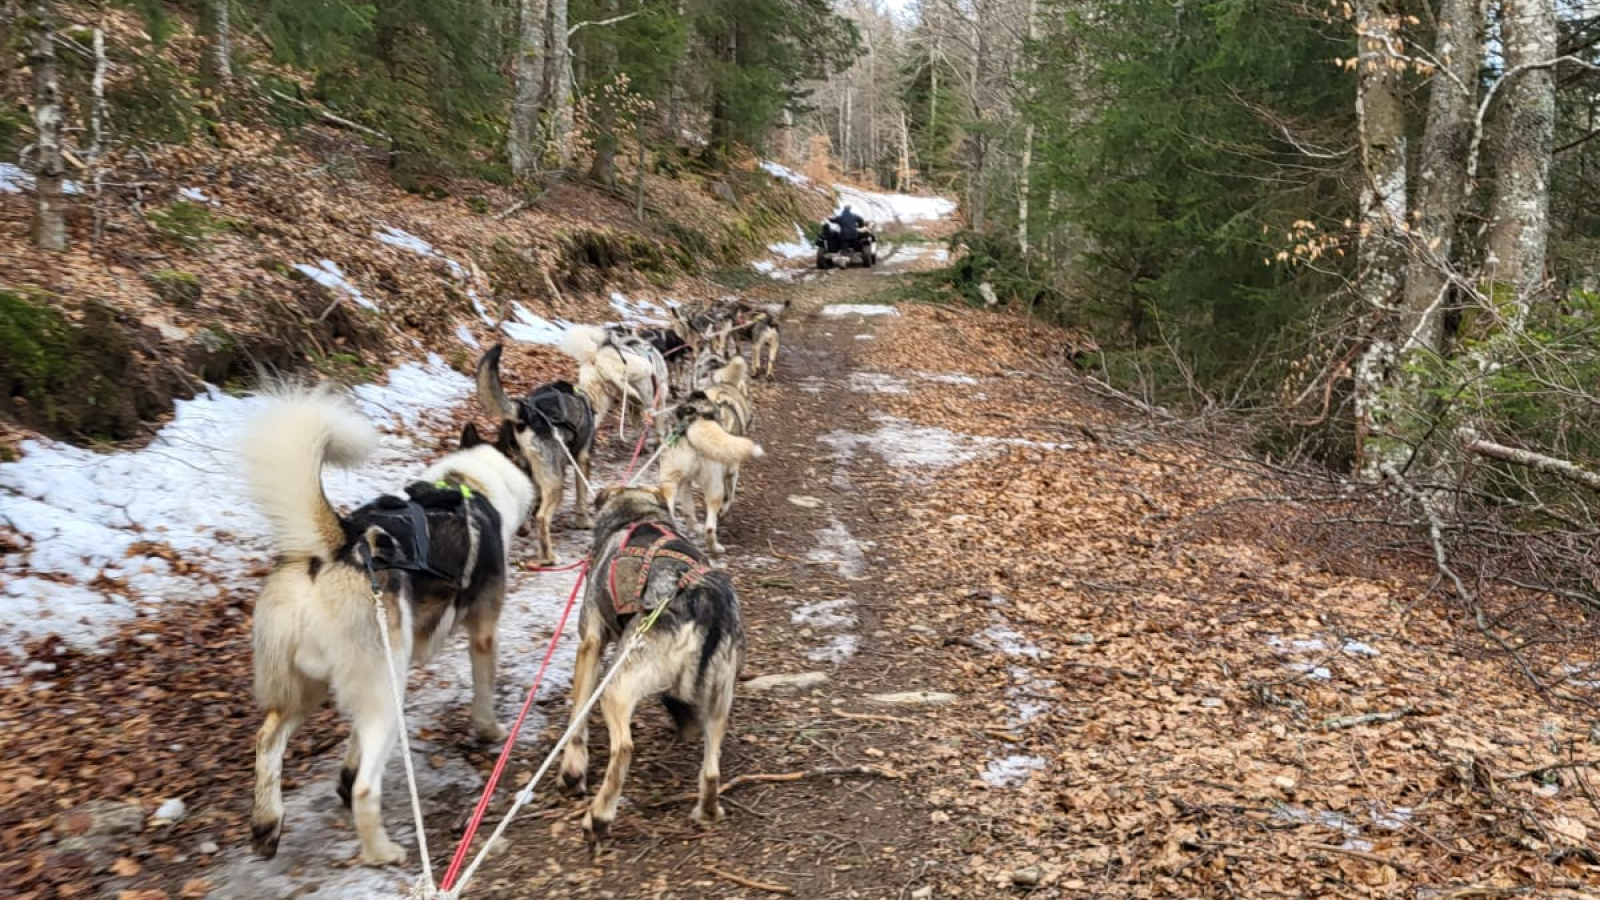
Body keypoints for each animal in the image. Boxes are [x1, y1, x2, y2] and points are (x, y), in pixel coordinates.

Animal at [480, 341, 601, 560]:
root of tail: (524, 413)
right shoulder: (582, 459)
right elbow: (581, 496)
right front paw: (583, 522)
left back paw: (524, 529)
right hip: (555, 484)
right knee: (542, 517)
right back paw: (549, 557)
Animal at [560, 486, 745, 845]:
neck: (637, 514)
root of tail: (701, 600)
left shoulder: (590, 644)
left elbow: (577, 719)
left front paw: (572, 770)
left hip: (614, 688)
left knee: (624, 749)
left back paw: (599, 816)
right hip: (719, 702)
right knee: (711, 770)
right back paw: (707, 810)